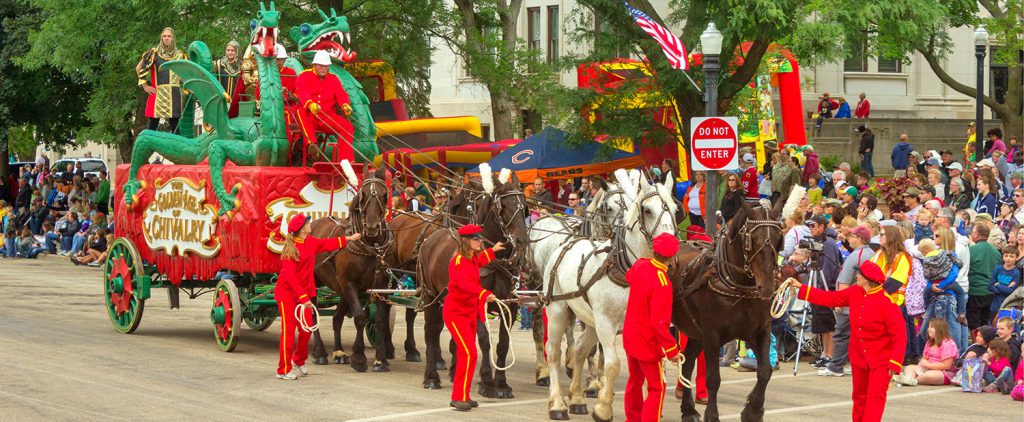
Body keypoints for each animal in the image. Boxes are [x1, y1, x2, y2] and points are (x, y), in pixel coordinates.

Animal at [307, 165, 391, 372]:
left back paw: (339, 352)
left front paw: (380, 359)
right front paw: (359, 358)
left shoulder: (380, 287)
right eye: (363, 194)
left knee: (337, 318)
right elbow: (360, 317)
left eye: (385, 194)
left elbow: (380, 321)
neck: (370, 246)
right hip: (317, 281)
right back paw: (320, 352)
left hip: (340, 287)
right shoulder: (350, 283)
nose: (372, 227)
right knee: (313, 313)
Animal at [415, 171, 528, 399]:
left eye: (523, 205)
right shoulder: (478, 304)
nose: (522, 240)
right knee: (431, 332)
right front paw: (487, 383)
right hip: (431, 297)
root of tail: (430, 239)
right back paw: (431, 377)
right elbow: (484, 340)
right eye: (503, 206)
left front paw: (502, 384)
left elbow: (503, 344)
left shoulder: (509, 306)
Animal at [540, 170, 675, 419]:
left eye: (675, 208)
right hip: (558, 309)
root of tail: (566, 243)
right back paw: (558, 404)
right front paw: (603, 408)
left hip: (591, 320)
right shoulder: (606, 321)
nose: (671, 245)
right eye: (647, 210)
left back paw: (577, 398)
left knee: (580, 350)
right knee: (553, 352)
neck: (629, 271)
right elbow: (613, 364)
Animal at [671, 198, 782, 422]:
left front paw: (753, 410)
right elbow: (713, 378)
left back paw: (688, 410)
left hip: (696, 333)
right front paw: (712, 415)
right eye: (751, 240)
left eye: (777, 239)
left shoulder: (759, 331)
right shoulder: (712, 335)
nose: (766, 287)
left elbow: (765, 371)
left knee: (687, 365)